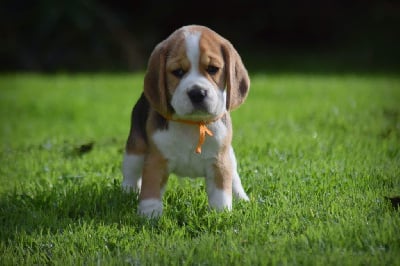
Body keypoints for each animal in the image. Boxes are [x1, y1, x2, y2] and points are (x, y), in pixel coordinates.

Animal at [122, 25, 250, 217]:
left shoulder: (220, 161)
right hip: (135, 150)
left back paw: (242, 198)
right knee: (130, 173)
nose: (197, 93)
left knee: (234, 176)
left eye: (213, 69)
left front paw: (220, 214)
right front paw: (149, 214)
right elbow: (150, 189)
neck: (192, 124)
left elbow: (221, 192)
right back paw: (127, 193)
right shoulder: (156, 161)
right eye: (178, 72)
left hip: (230, 156)